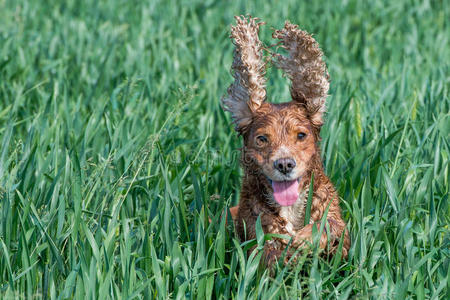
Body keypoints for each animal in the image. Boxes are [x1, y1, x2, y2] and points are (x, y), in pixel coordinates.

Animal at [221, 16, 352, 264]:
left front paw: (304, 238)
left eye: (301, 135)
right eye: (262, 139)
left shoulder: (339, 227)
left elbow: (330, 225)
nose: (284, 164)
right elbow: (269, 245)